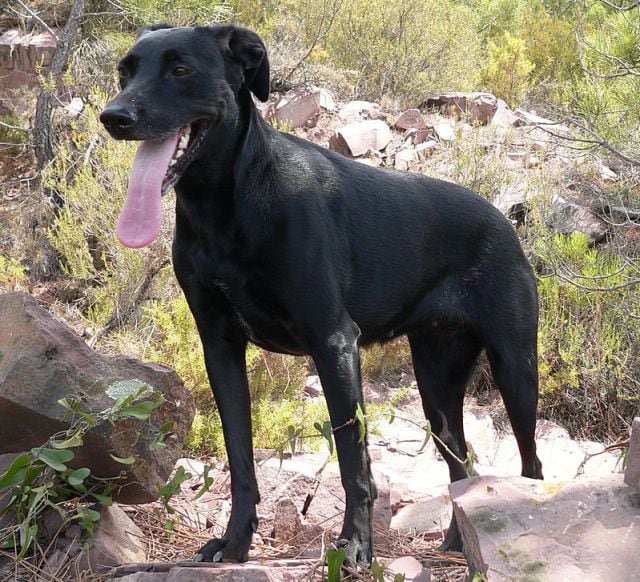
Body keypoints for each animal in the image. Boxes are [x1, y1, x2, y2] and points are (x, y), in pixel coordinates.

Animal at [102, 25, 544, 568]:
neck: (227, 204)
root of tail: (504, 221)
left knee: (531, 463)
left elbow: (354, 460)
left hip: (515, 369)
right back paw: (459, 544)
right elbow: (240, 457)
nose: (113, 116)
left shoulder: (333, 342)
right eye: (125, 73)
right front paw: (235, 542)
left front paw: (355, 546)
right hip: (436, 384)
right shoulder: (220, 347)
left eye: (180, 69)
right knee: (462, 465)